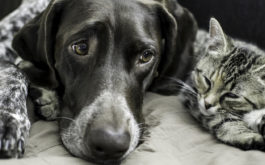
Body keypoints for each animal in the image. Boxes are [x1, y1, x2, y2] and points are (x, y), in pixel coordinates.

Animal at [179, 18, 265, 151]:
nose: (207, 104)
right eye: (207, 81)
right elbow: (223, 117)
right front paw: (245, 134)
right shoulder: (190, 90)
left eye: (232, 95)